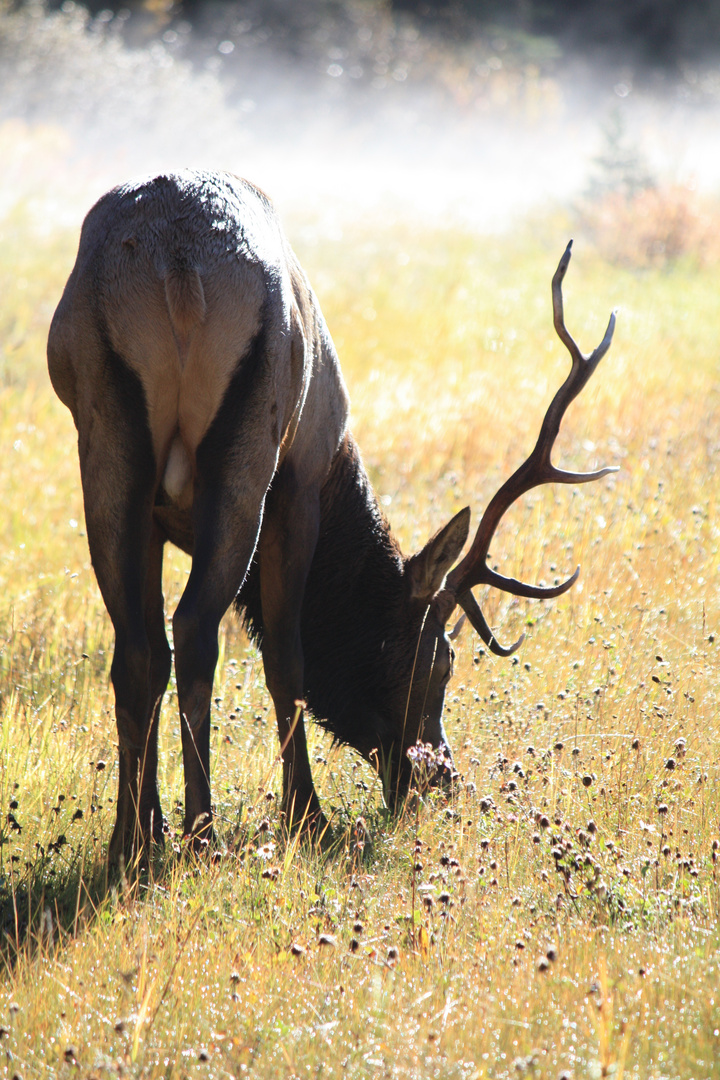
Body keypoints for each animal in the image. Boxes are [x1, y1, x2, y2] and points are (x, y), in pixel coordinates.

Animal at [46, 170, 621, 859]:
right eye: (443, 660)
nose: (440, 778)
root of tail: (178, 272)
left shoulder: (157, 519)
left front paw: (151, 823)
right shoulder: (301, 483)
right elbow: (286, 657)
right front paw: (305, 815)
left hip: (105, 440)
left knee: (140, 648)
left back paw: (130, 841)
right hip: (251, 445)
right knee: (196, 630)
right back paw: (205, 831)